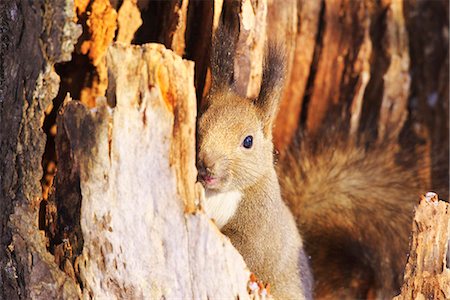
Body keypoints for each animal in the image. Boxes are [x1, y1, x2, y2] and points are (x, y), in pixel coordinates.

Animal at [196, 22, 426, 298]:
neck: (219, 194)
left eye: (248, 141)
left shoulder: (260, 223)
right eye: (198, 124)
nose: (206, 165)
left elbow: (247, 250)